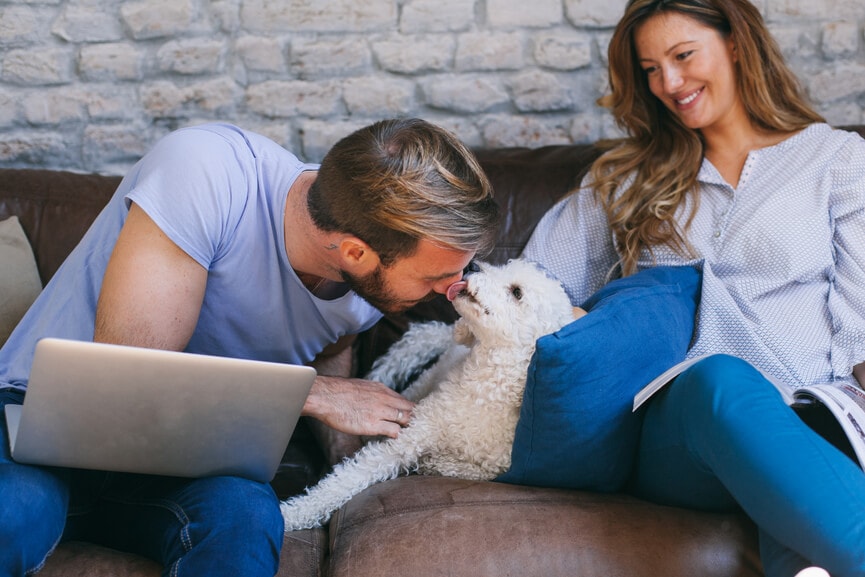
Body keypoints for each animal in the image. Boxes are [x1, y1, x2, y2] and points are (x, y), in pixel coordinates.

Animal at [284, 258, 576, 528]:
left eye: (517, 292)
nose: (472, 265)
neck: (485, 389)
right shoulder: (413, 434)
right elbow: (349, 478)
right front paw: (293, 514)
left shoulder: (497, 466)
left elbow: (469, 470)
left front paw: (434, 462)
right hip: (427, 380)